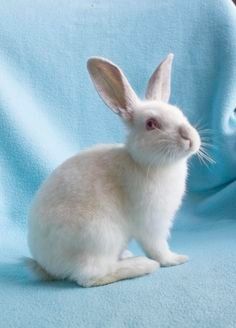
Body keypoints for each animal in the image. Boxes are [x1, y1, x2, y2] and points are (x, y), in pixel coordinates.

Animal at [27, 53, 201, 288]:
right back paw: (141, 265)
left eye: (180, 113)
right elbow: (158, 247)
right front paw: (176, 259)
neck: (142, 162)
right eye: (151, 124)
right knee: (89, 276)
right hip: (99, 236)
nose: (190, 138)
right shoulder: (152, 224)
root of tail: (46, 265)